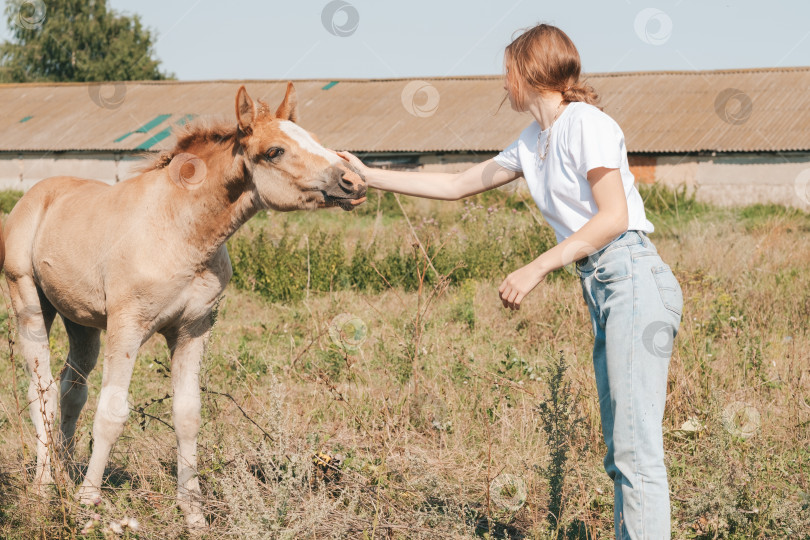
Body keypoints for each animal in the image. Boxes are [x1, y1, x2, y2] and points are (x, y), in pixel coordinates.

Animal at [3, 84, 366, 528]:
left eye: (312, 137)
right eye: (275, 151)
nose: (353, 180)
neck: (180, 229)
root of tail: (36, 194)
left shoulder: (193, 329)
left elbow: (188, 416)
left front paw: (193, 511)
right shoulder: (127, 326)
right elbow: (112, 413)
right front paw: (88, 504)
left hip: (81, 321)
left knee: (72, 389)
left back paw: (65, 472)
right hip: (30, 305)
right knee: (42, 392)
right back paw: (43, 487)